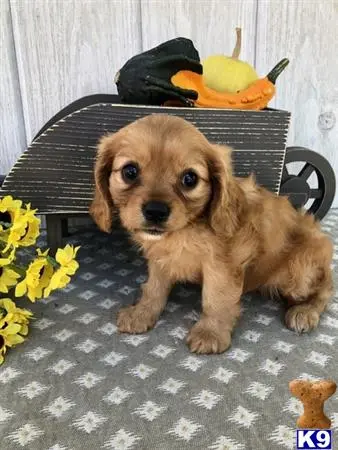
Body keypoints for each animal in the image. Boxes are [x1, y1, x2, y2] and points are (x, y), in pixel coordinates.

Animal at [90, 114, 332, 354]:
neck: (185, 230)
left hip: (301, 269)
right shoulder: (160, 259)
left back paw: (303, 311)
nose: (155, 211)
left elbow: (216, 298)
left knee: (325, 289)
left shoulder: (223, 264)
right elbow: (154, 288)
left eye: (190, 179)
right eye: (129, 172)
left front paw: (210, 332)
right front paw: (142, 312)